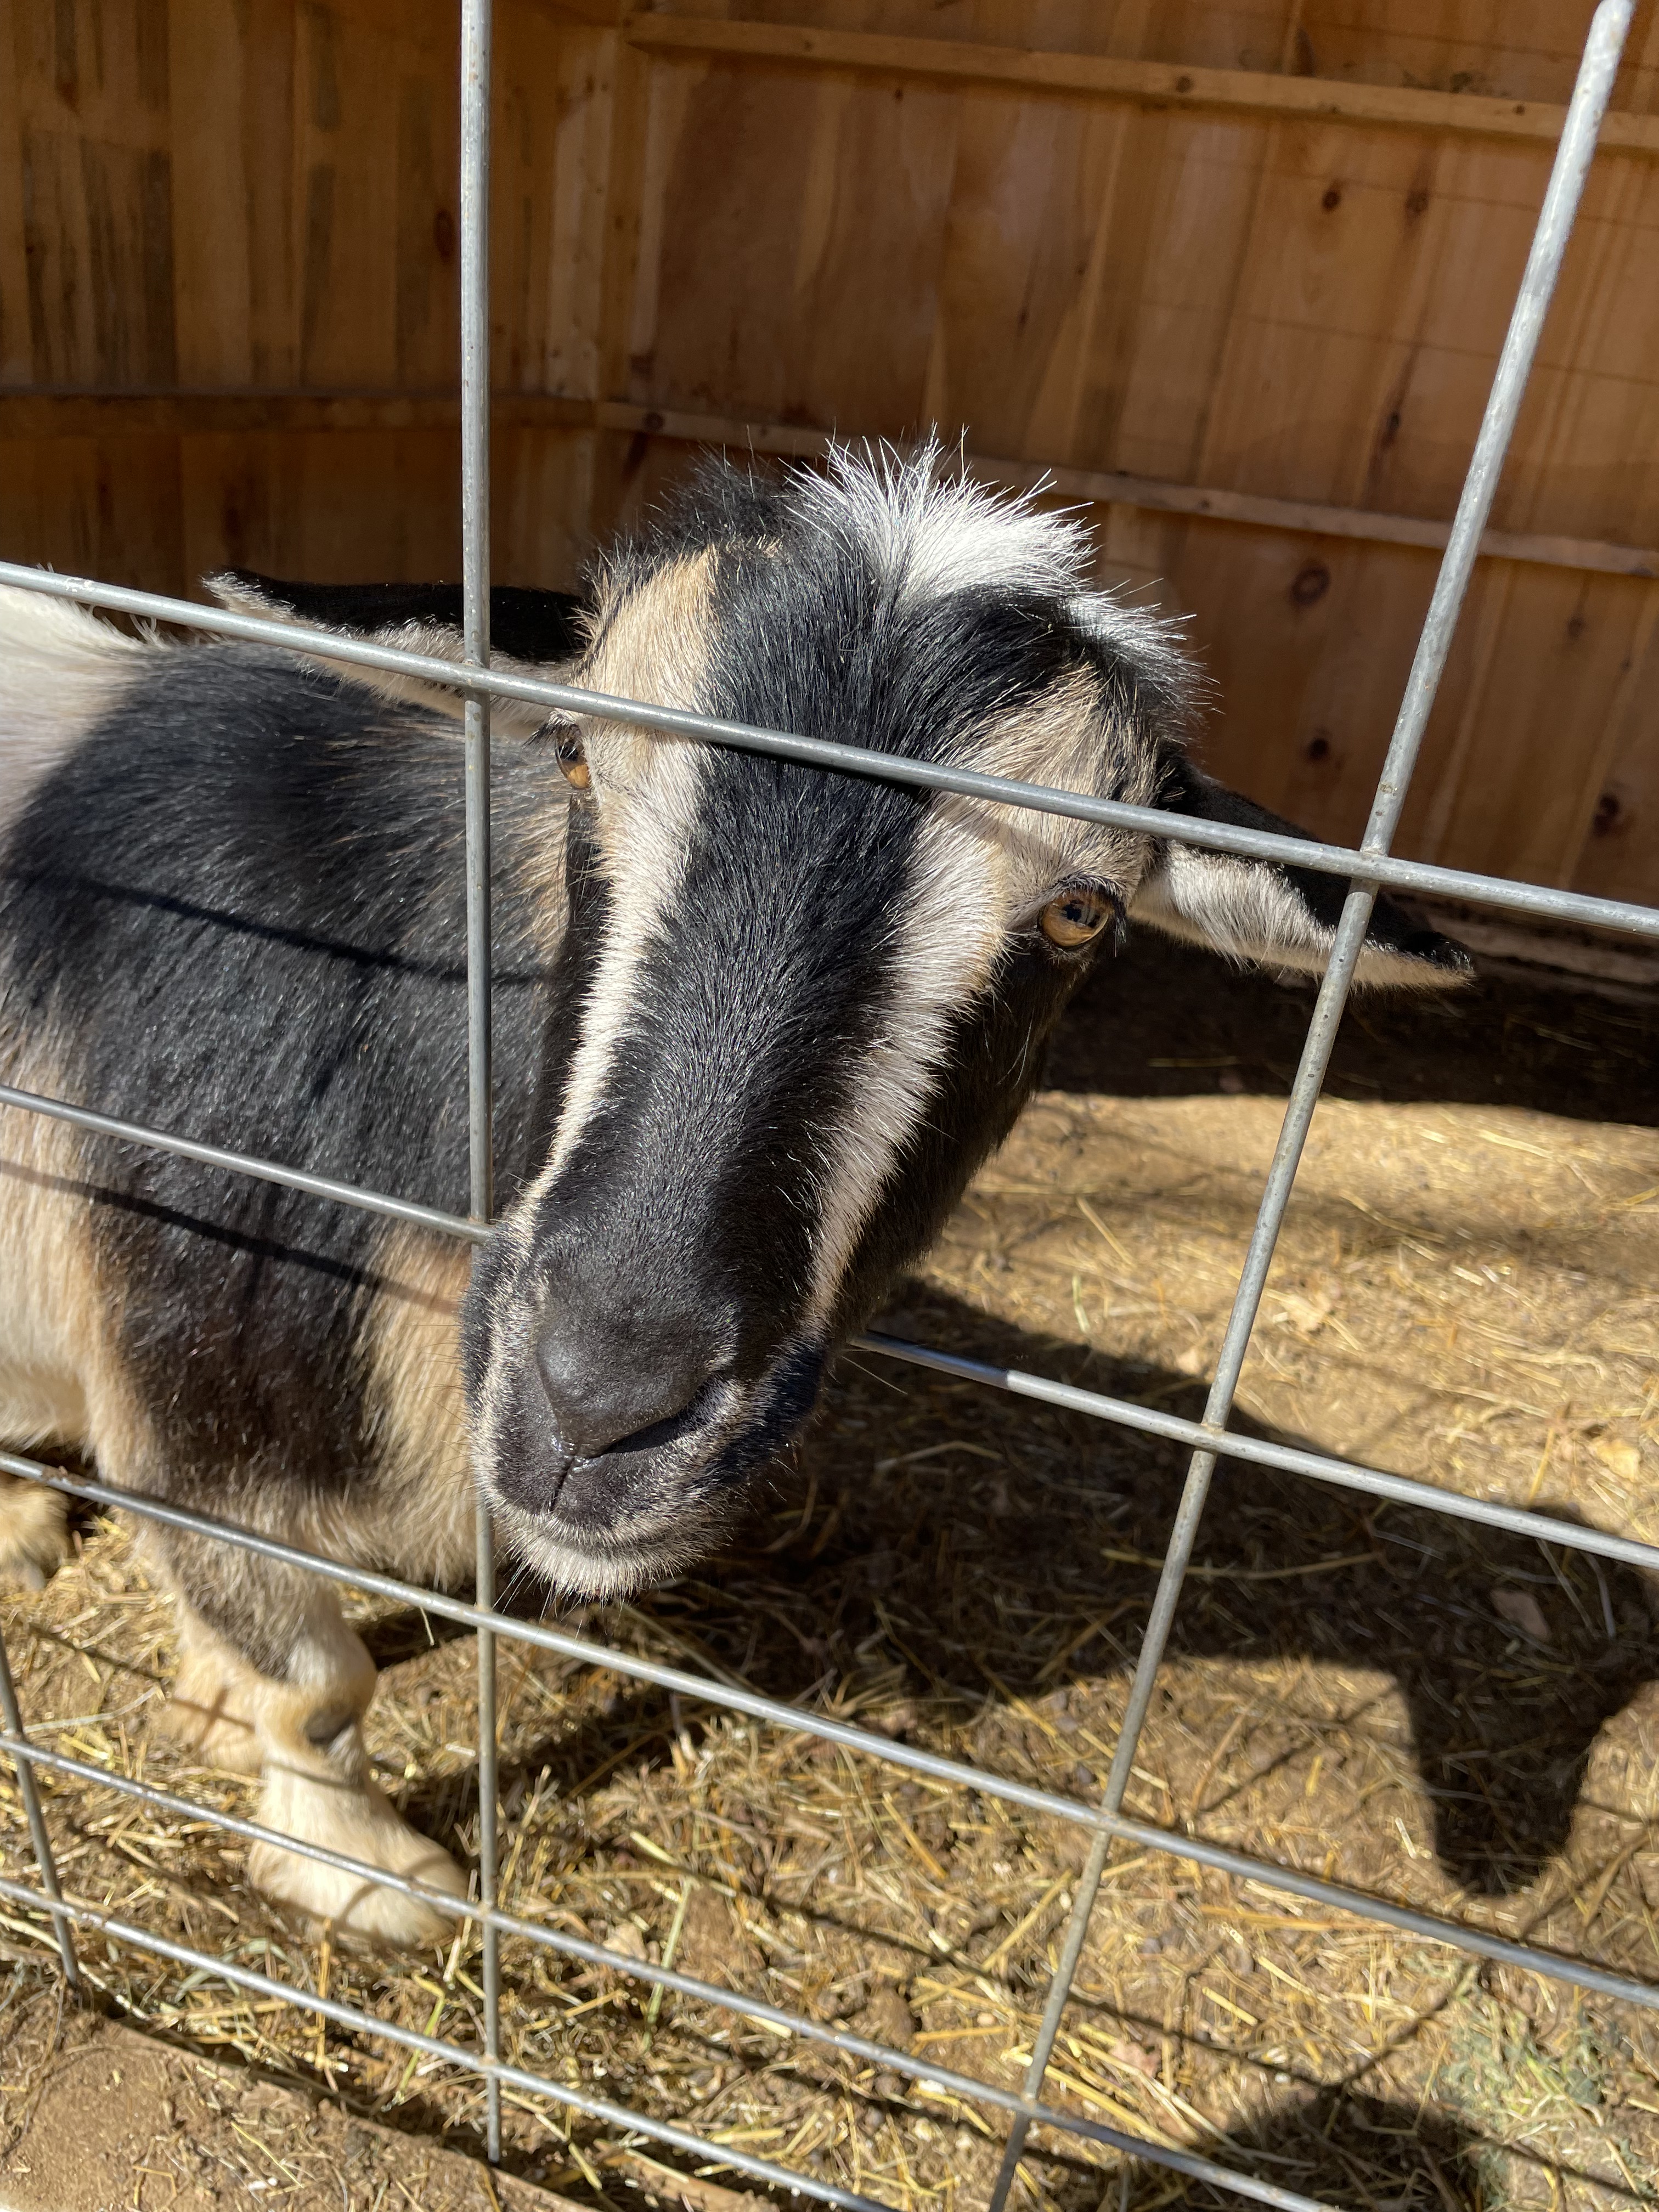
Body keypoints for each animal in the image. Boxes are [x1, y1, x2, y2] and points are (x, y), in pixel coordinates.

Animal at [0, 446, 1468, 1942]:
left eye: (1079, 913)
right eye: (574, 755)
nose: (600, 1408)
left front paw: (225, 1714)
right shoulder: (182, 1406)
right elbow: (316, 1680)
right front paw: (367, 1875)